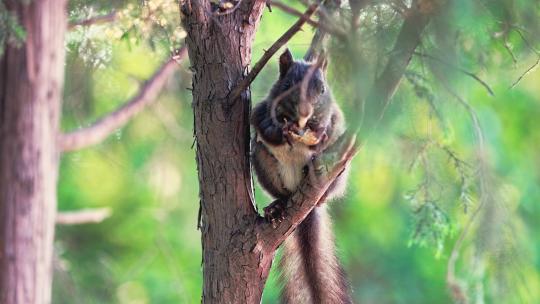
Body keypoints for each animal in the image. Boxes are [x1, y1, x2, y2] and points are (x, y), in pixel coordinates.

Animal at [251, 48, 352, 302]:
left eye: (323, 89)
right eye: (287, 84)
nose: (305, 113)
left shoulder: (335, 116)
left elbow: (331, 126)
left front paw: (320, 135)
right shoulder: (261, 110)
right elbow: (263, 125)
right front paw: (281, 132)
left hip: (337, 174)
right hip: (263, 162)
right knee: (282, 192)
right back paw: (277, 206)